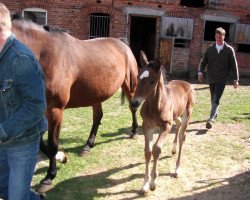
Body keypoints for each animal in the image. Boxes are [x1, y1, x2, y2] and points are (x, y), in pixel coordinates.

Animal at [11, 18, 139, 185]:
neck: (44, 55)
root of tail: (122, 44)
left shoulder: (55, 110)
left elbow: (52, 144)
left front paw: (50, 175)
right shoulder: (38, 111)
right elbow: (41, 142)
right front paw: (61, 157)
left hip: (129, 86)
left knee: (133, 108)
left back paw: (134, 131)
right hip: (96, 95)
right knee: (97, 117)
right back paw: (88, 145)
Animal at [131, 51, 195, 194]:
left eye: (152, 81)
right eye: (138, 77)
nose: (134, 103)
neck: (155, 105)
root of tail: (185, 82)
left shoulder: (166, 126)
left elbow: (156, 149)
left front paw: (153, 182)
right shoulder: (147, 125)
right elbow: (148, 151)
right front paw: (144, 185)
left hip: (187, 115)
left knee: (183, 136)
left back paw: (177, 169)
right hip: (175, 115)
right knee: (177, 124)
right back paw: (173, 149)